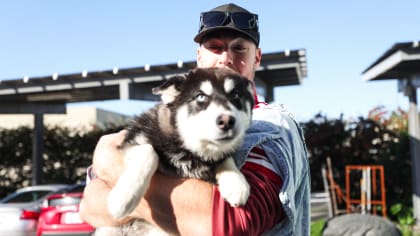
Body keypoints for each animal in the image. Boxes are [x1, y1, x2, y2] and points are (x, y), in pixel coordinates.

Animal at [105, 67, 256, 235]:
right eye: (201, 96)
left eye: (235, 95)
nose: (227, 121)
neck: (189, 150)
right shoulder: (130, 142)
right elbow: (148, 152)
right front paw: (124, 197)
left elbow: (227, 158)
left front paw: (236, 183)